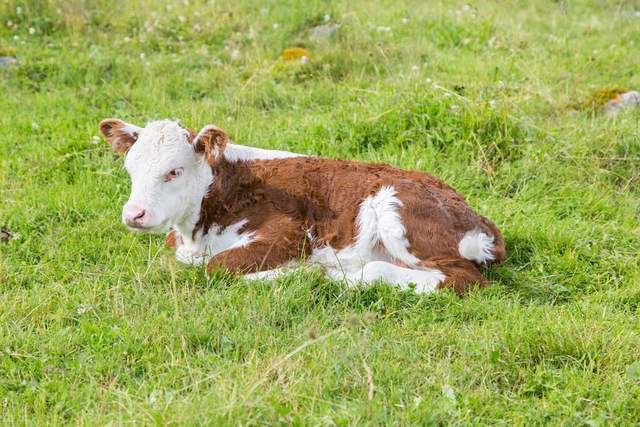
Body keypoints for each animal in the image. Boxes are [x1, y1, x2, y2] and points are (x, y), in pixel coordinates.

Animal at [100, 118, 504, 296]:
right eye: (131, 166)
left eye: (175, 170)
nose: (133, 214)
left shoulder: (290, 232)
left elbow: (218, 267)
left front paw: (292, 272)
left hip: (395, 210)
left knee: (460, 278)